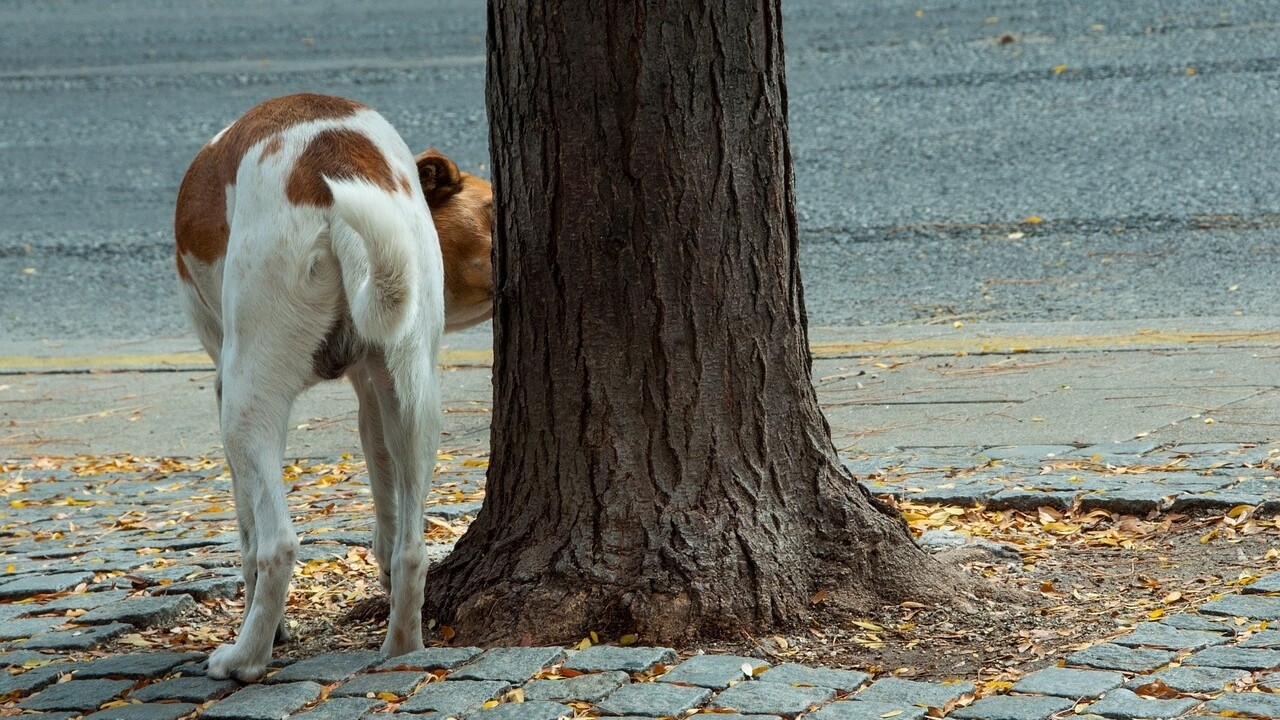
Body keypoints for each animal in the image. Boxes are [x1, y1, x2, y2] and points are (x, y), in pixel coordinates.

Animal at [171, 92, 488, 676]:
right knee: (412, 549)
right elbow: (387, 515)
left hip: (247, 404)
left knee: (277, 544)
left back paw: (244, 659)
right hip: (417, 400)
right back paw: (401, 647)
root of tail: (333, 160)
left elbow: (247, 536)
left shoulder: (226, 388)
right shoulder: (374, 394)